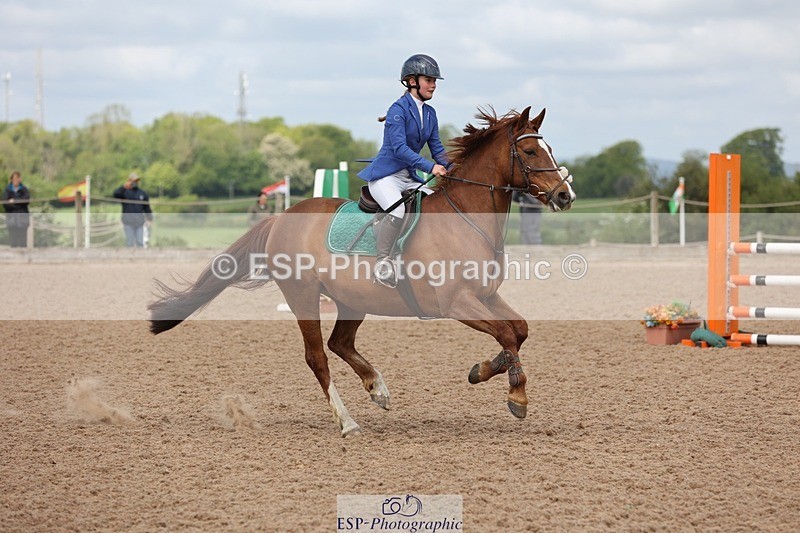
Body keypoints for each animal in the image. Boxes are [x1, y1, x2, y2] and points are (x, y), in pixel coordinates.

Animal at [149, 106, 576, 437]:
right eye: (531, 150)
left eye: (549, 148)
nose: (565, 195)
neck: (465, 218)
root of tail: (281, 218)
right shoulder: (456, 302)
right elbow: (505, 332)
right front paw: (513, 392)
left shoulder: (485, 294)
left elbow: (518, 329)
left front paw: (492, 373)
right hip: (303, 295)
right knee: (317, 356)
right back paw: (347, 422)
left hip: (352, 299)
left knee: (340, 343)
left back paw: (378, 389)